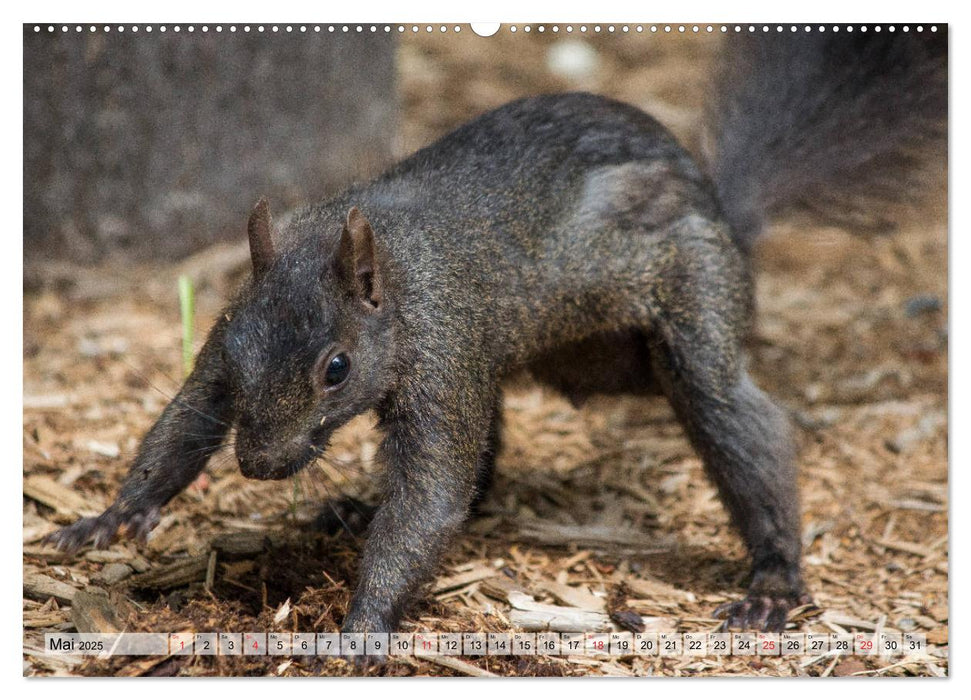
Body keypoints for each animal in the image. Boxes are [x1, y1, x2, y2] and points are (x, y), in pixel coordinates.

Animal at [49, 31, 944, 644]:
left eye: (337, 368)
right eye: (235, 348)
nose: (261, 466)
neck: (392, 276)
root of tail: (727, 212)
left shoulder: (445, 353)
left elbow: (429, 501)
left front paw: (360, 628)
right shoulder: (228, 359)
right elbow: (180, 429)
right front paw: (110, 518)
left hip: (685, 319)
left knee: (739, 422)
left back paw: (771, 582)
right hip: (523, 363)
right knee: (484, 460)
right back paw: (352, 506)